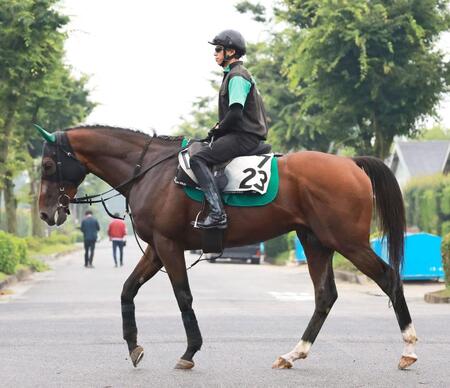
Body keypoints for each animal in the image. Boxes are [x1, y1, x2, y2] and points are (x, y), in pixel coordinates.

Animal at [36, 126, 418, 372]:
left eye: (48, 165)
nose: (44, 213)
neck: (150, 171)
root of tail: (350, 163)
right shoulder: (156, 249)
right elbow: (127, 290)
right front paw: (133, 346)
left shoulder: (168, 246)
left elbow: (183, 296)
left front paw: (190, 351)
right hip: (316, 241)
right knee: (325, 295)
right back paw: (293, 354)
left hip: (347, 242)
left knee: (389, 278)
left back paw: (409, 348)